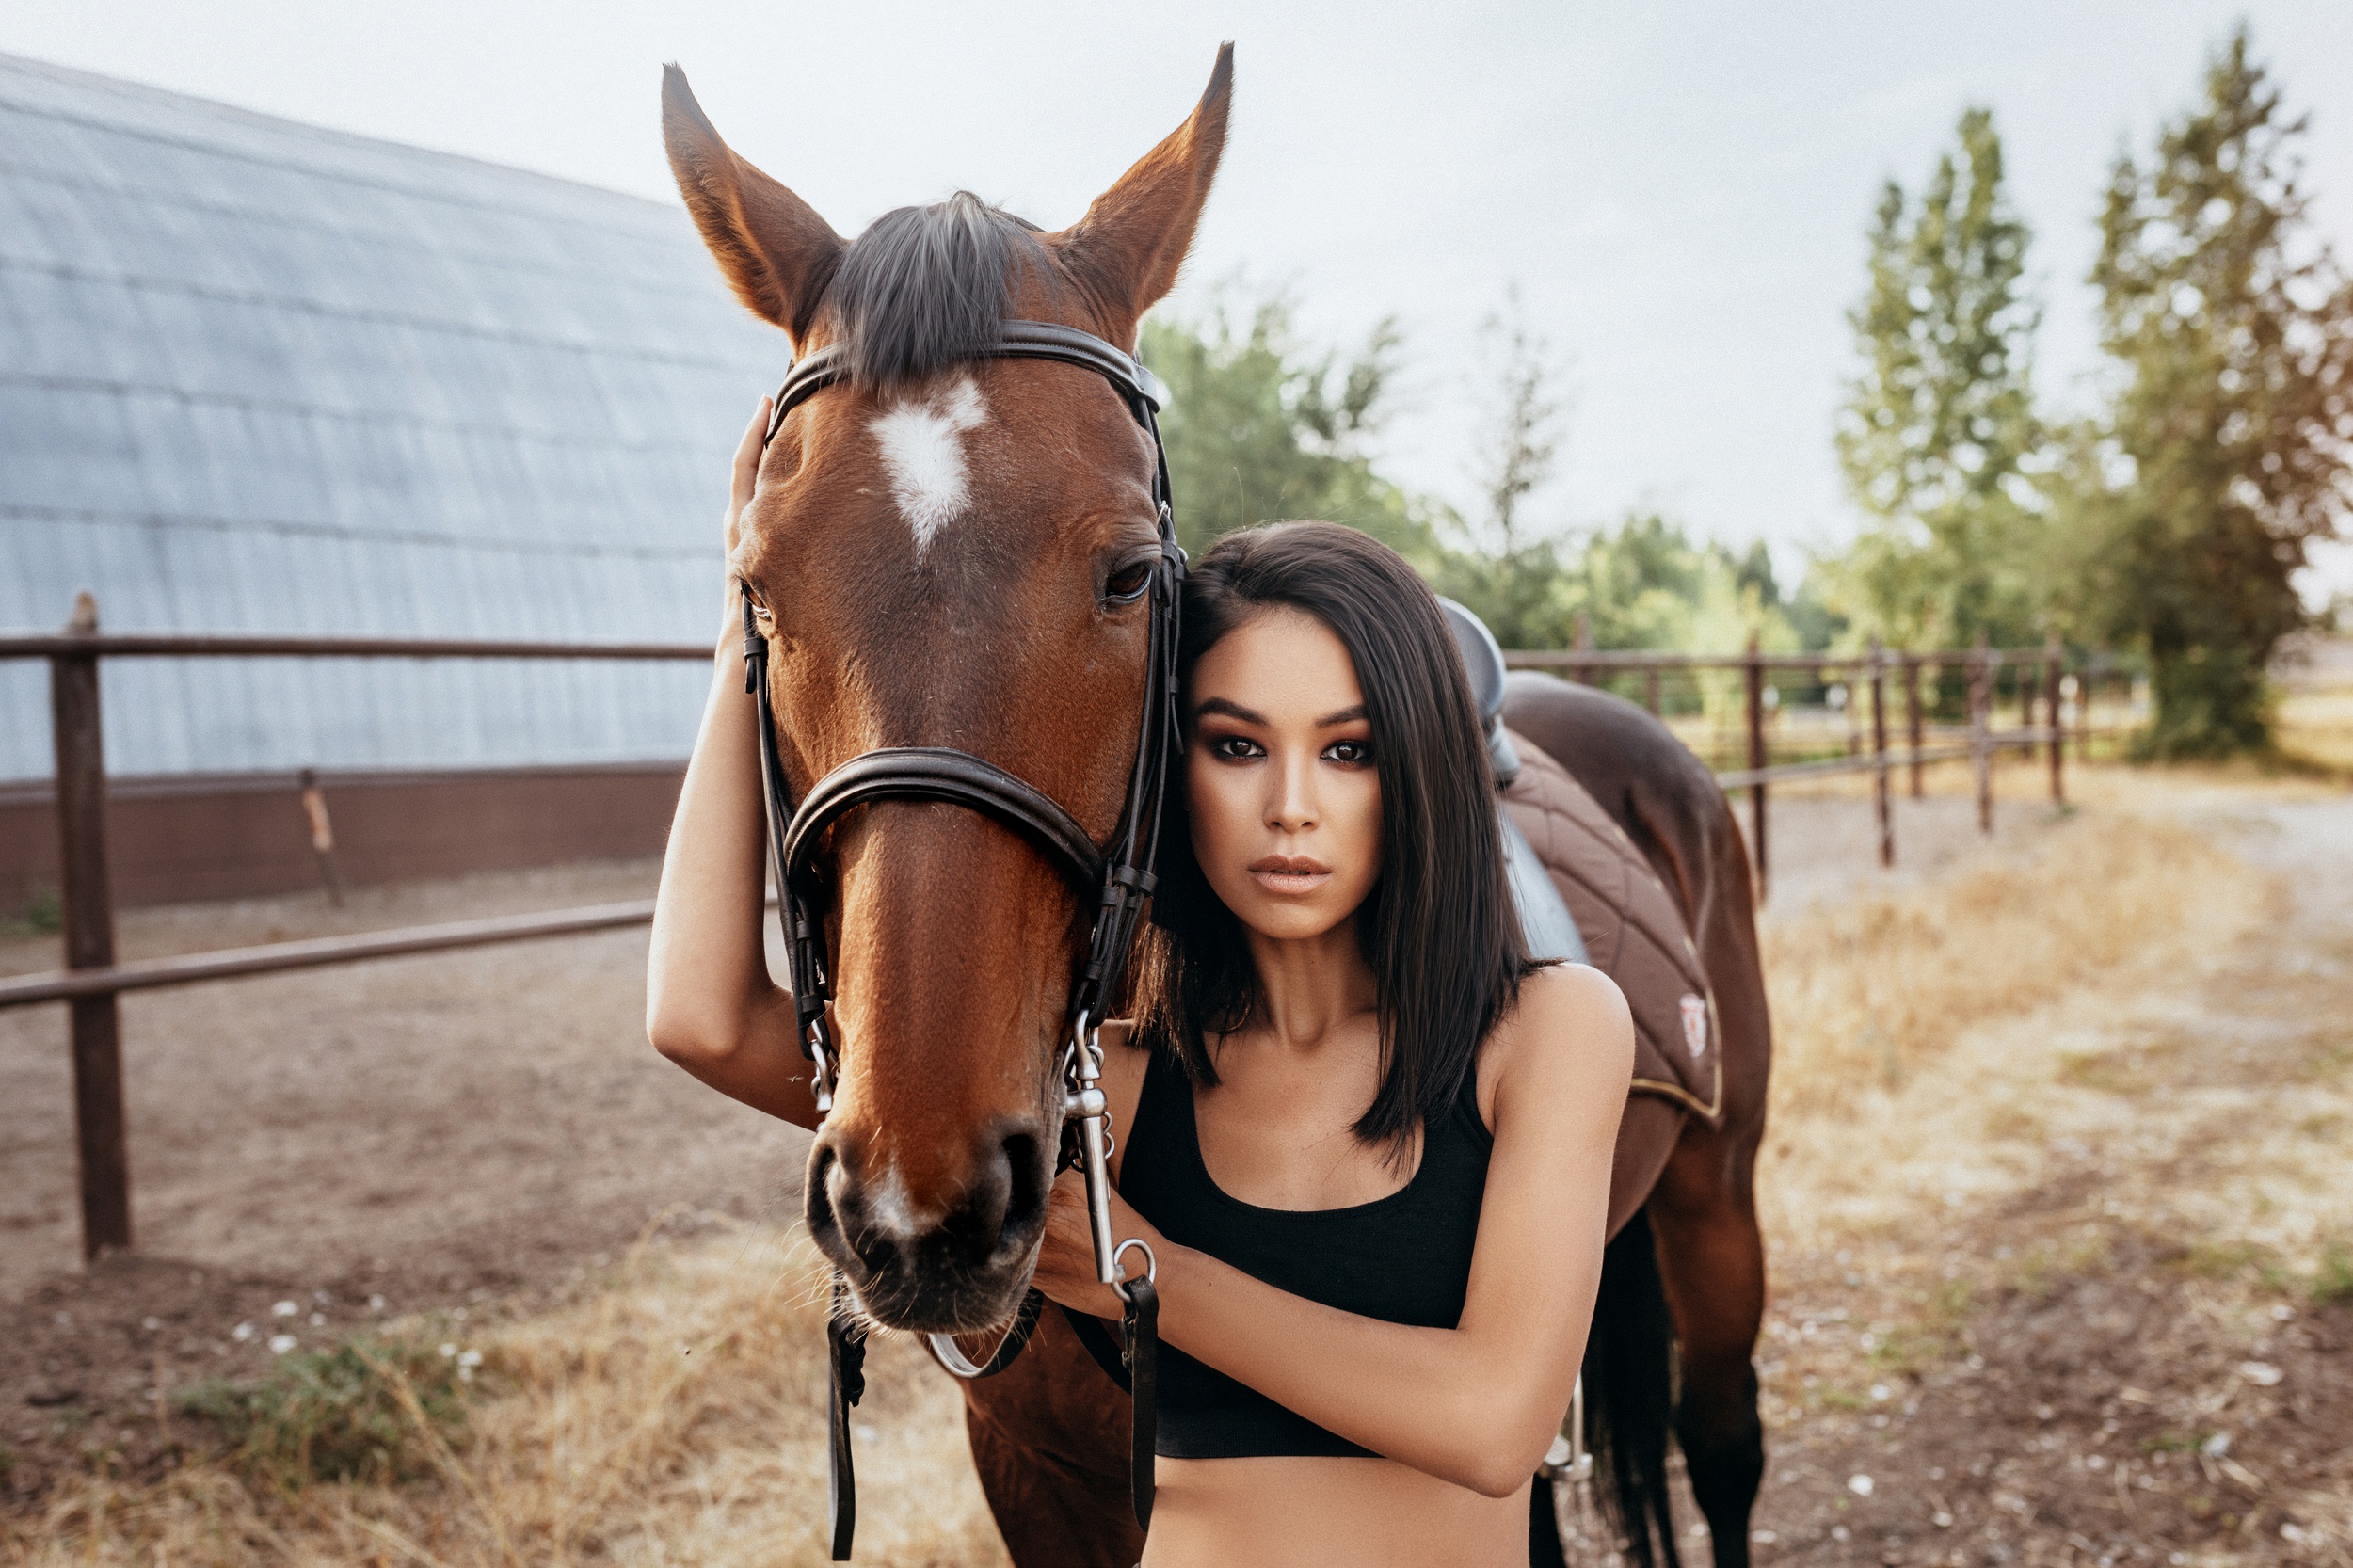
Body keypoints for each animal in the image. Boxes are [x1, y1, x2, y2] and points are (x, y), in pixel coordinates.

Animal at [664, 48, 1769, 1562]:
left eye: (1132, 573)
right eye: (758, 590)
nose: (921, 1206)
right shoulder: (1034, 1473)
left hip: (1719, 1200)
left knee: (1722, 1450)